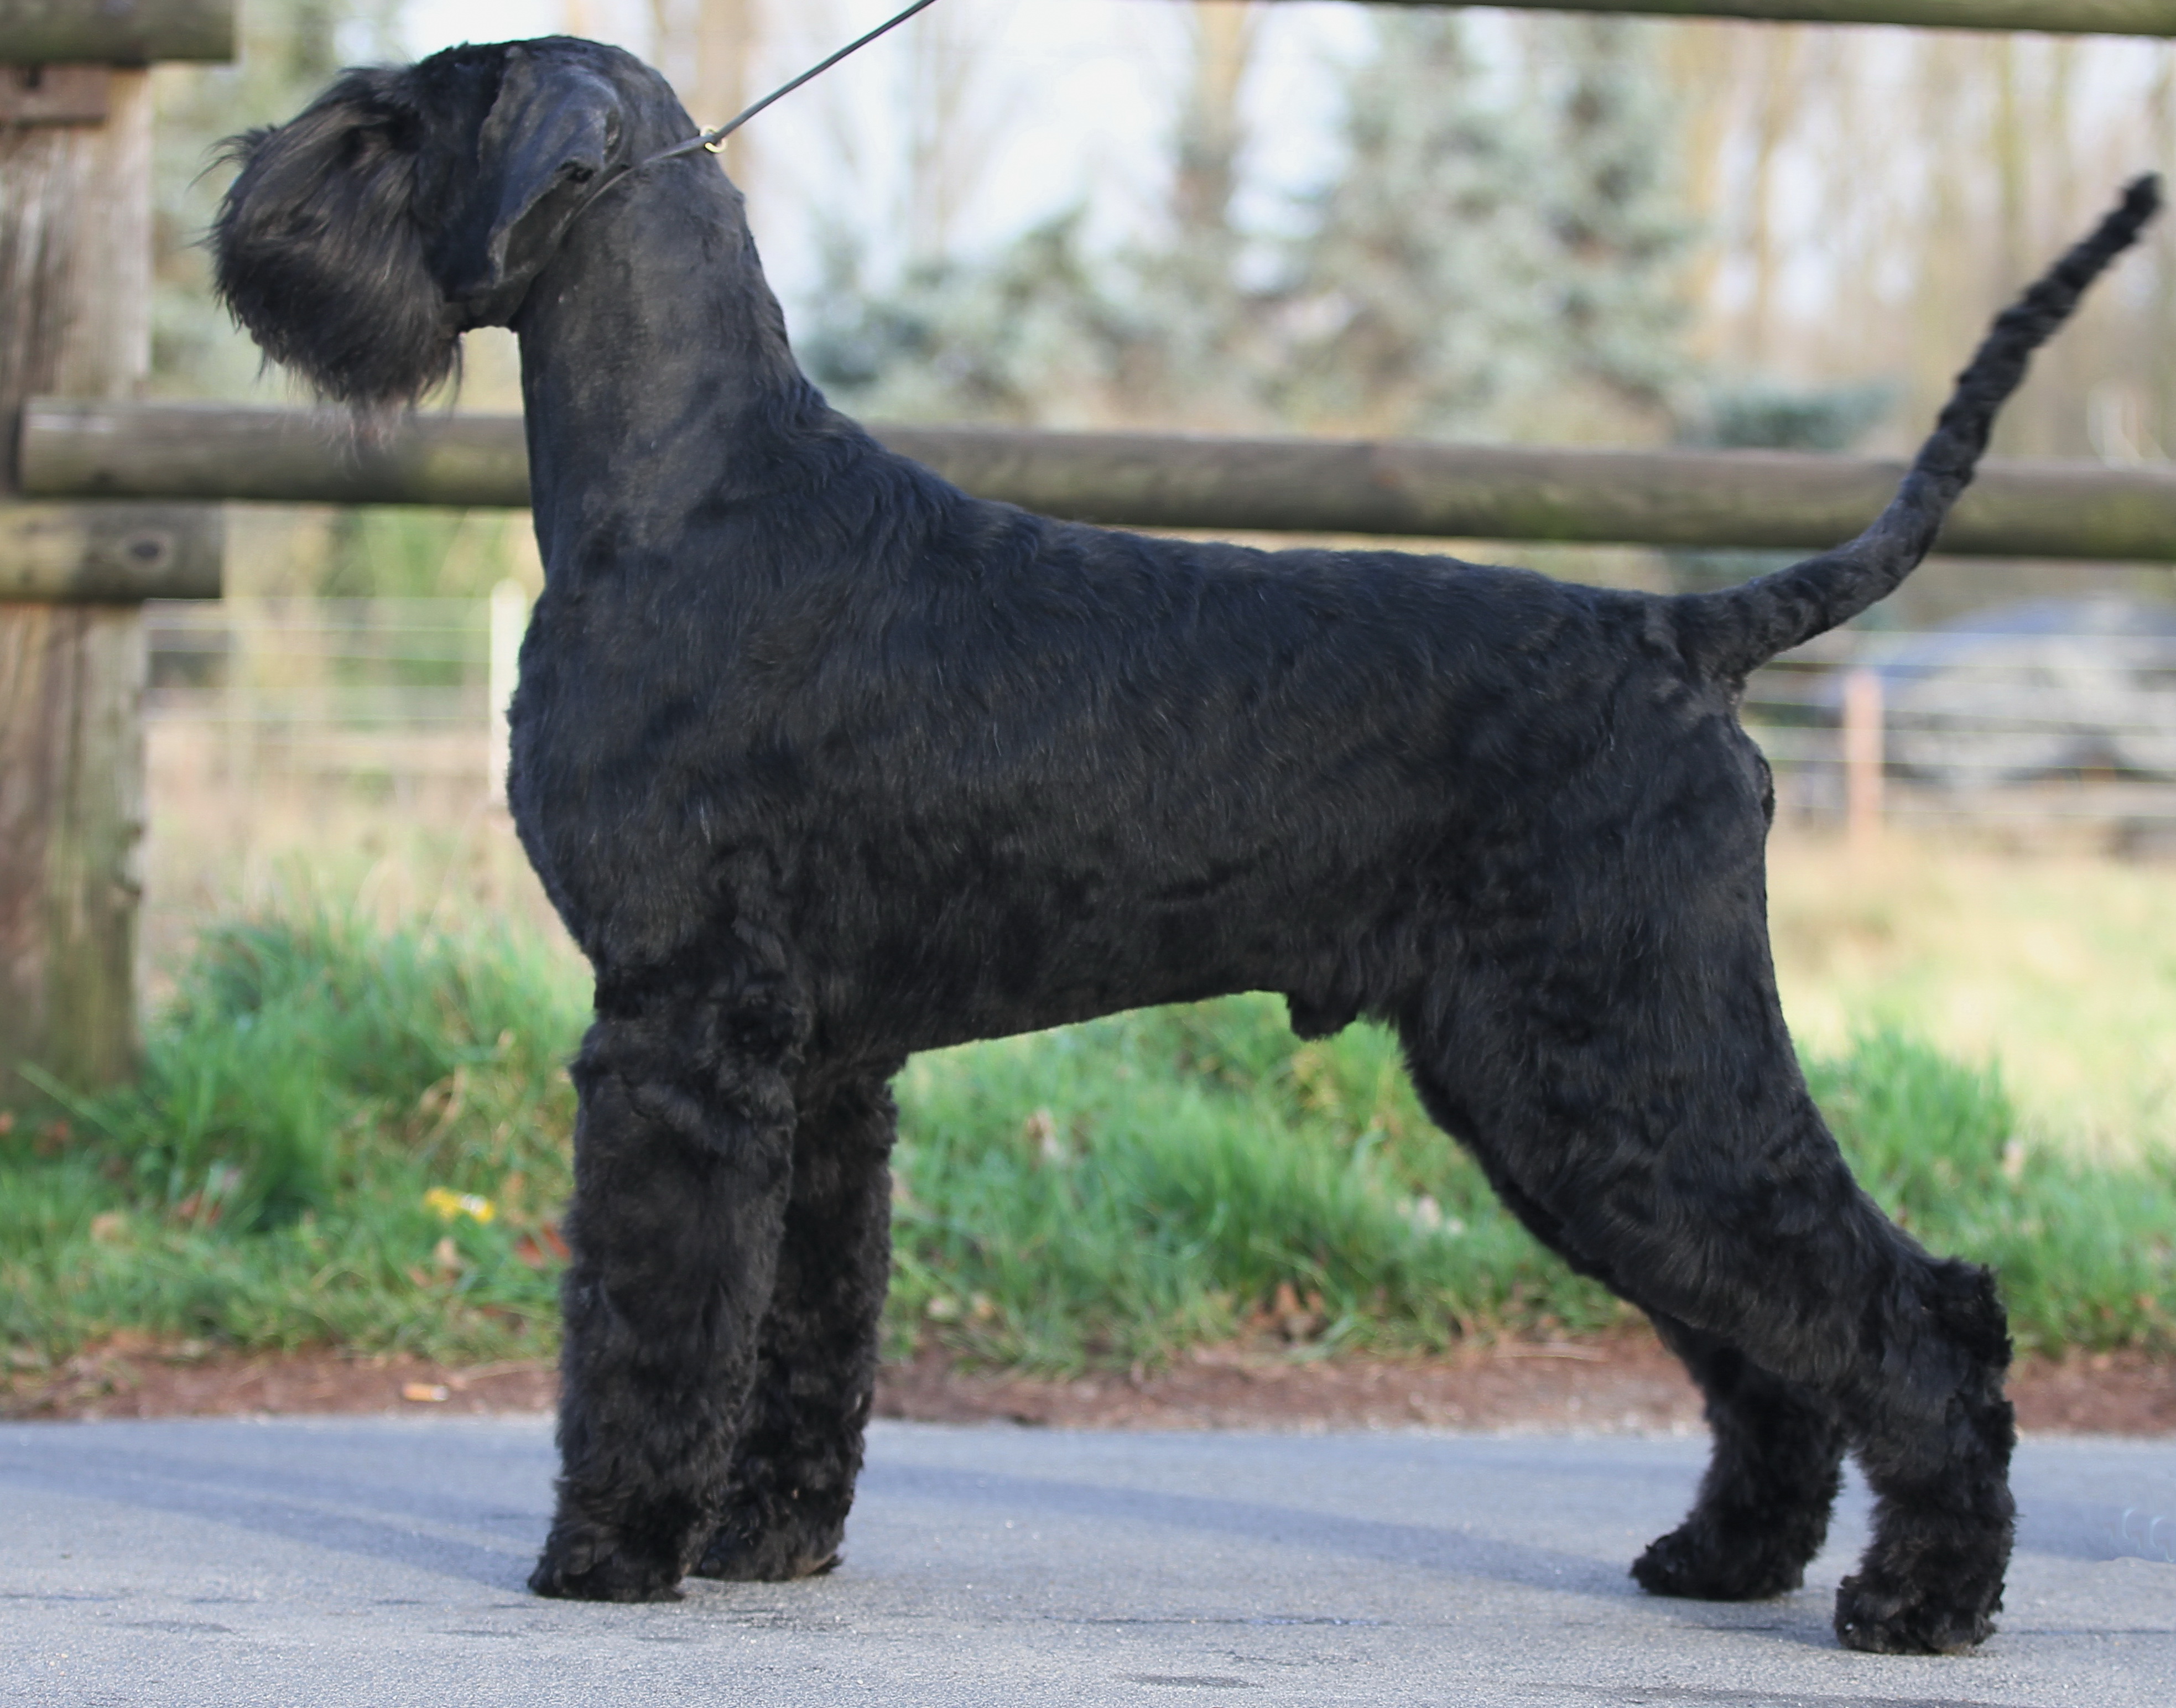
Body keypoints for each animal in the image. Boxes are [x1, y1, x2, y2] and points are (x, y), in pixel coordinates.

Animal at [210, 36, 2155, 1652]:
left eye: (398, 121)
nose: (244, 204)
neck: (686, 494)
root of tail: (1685, 634)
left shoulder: (678, 1030)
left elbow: (654, 1314)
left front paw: (610, 1552)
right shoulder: (820, 1066)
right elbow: (804, 1322)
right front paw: (771, 1541)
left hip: (1628, 1064)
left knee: (1912, 1314)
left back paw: (1921, 1599)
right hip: (1566, 1094)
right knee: (1764, 1340)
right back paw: (1727, 1558)